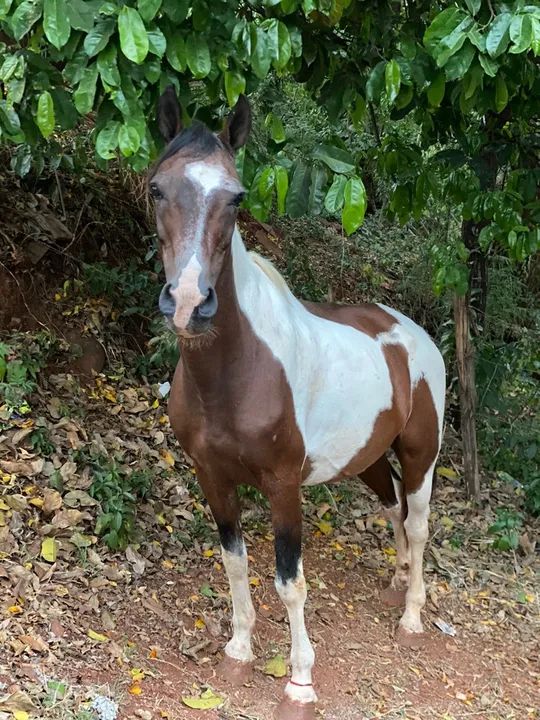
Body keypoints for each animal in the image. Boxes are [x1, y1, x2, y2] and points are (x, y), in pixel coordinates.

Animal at [149, 86, 446, 720]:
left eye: (236, 197)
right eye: (157, 188)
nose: (188, 302)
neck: (237, 372)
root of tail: (413, 336)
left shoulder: (284, 486)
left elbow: (291, 582)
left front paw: (300, 681)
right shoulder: (212, 477)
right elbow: (235, 562)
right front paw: (237, 652)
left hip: (420, 457)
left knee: (417, 524)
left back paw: (411, 616)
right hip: (366, 460)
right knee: (394, 510)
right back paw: (395, 583)